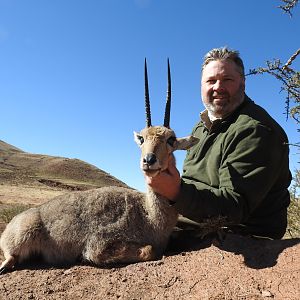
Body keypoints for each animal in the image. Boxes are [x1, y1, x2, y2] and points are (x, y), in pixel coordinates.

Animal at [0, 59, 199, 274]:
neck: (147, 214)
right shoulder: (98, 246)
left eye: (171, 139)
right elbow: (149, 250)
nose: (148, 160)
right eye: (142, 138)